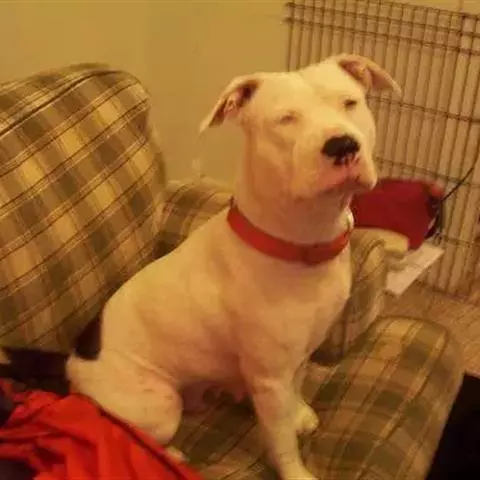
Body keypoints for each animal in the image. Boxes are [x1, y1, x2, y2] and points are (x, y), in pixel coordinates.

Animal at [67, 54, 400, 480]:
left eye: (350, 103)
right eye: (285, 119)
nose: (342, 144)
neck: (301, 244)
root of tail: (75, 359)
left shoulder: (299, 356)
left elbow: (296, 392)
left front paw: (299, 414)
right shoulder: (270, 379)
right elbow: (281, 441)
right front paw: (295, 469)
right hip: (159, 405)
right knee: (134, 429)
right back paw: (173, 454)